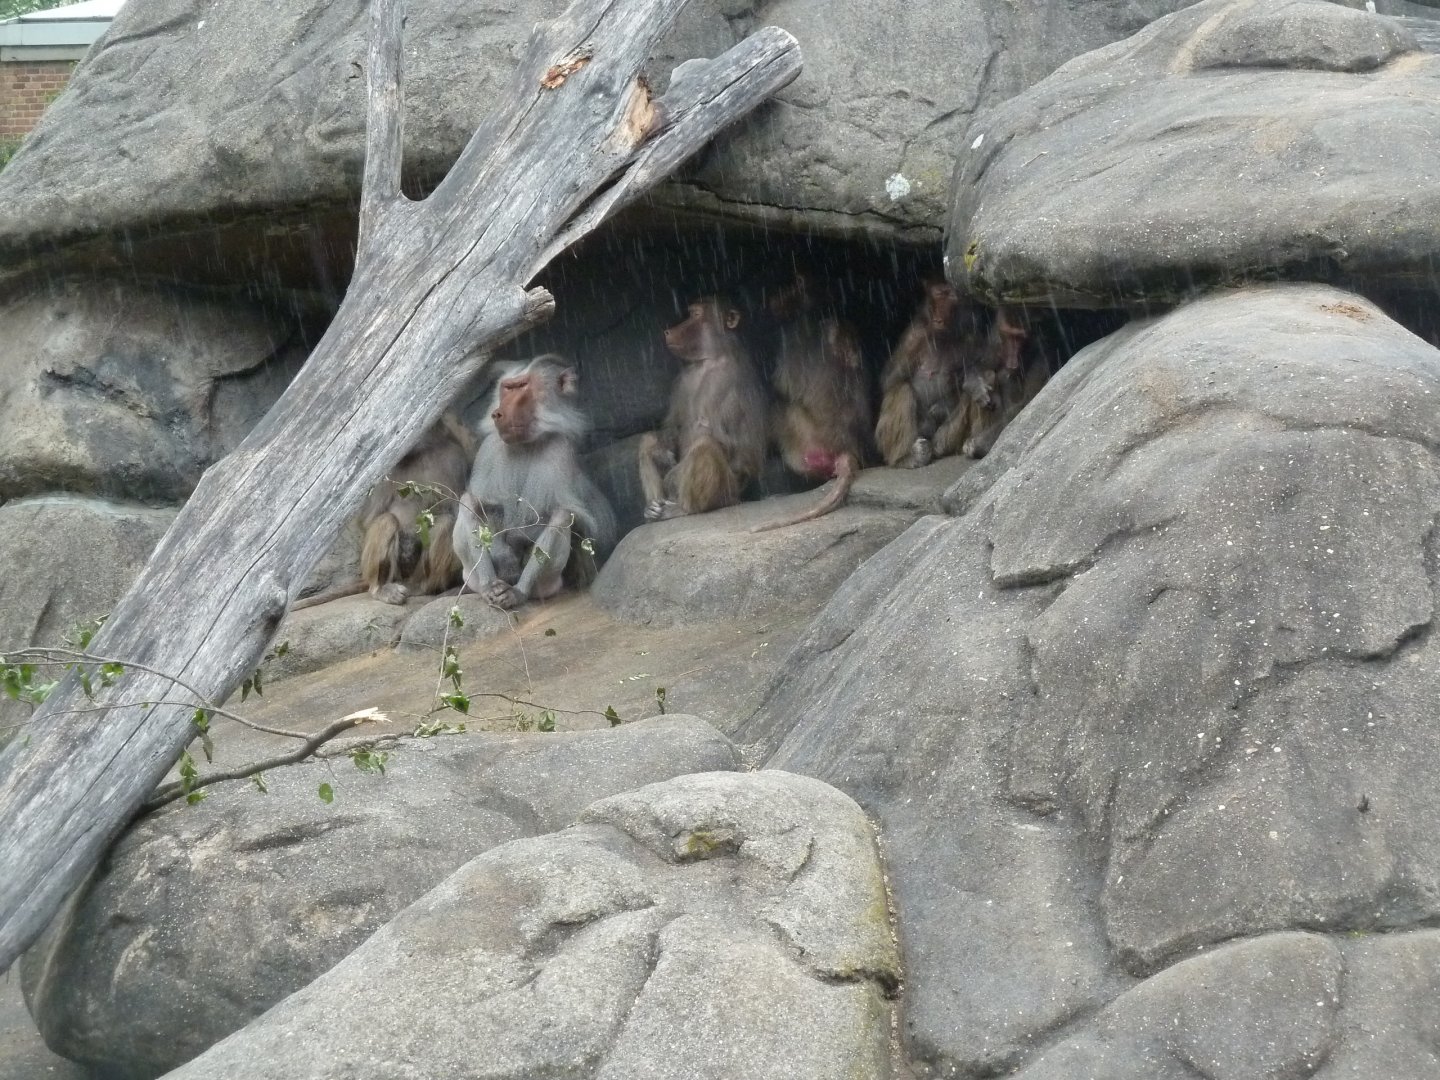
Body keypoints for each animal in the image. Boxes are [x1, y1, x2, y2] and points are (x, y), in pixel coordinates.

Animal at [291, 414, 474, 610]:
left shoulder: (454, 456)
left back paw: (423, 587)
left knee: (446, 522)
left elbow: (459, 508)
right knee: (387, 520)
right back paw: (381, 588)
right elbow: (369, 518)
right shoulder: (387, 467)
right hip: (392, 573)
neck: (420, 451)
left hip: (417, 574)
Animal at [453, 354, 616, 610]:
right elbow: (487, 508)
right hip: (469, 574)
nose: (498, 414)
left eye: (522, 386)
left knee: (562, 516)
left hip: (550, 581)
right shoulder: (489, 449)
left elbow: (548, 516)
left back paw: (518, 592)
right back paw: (490, 586)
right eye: (507, 388)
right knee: (468, 501)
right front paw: (503, 555)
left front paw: (516, 543)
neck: (525, 444)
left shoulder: (559, 452)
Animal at [638, 296, 770, 521]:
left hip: (727, 492)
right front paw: (661, 452)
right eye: (689, 313)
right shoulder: (683, 379)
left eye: (696, 315)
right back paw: (653, 508)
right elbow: (672, 428)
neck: (709, 361)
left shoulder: (730, 380)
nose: (668, 331)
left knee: (706, 446)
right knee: (648, 441)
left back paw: (685, 508)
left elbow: (735, 444)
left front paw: (672, 476)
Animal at [874, 280, 996, 469]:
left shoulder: (972, 335)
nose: (938, 317)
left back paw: (978, 445)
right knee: (902, 389)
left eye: (950, 296)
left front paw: (973, 383)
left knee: (988, 376)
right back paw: (905, 457)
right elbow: (889, 380)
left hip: (945, 439)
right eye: (938, 294)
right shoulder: (914, 336)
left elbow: (985, 364)